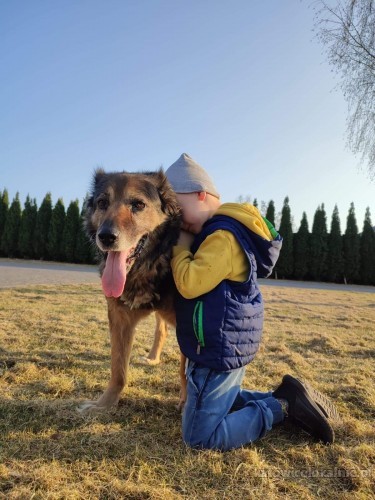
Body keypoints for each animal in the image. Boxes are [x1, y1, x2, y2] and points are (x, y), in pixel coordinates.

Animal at [78, 170, 181, 412]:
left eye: (138, 204)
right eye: (102, 203)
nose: (106, 237)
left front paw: (189, 406)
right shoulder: (119, 318)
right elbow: (118, 369)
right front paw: (104, 405)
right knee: (161, 331)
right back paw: (153, 358)